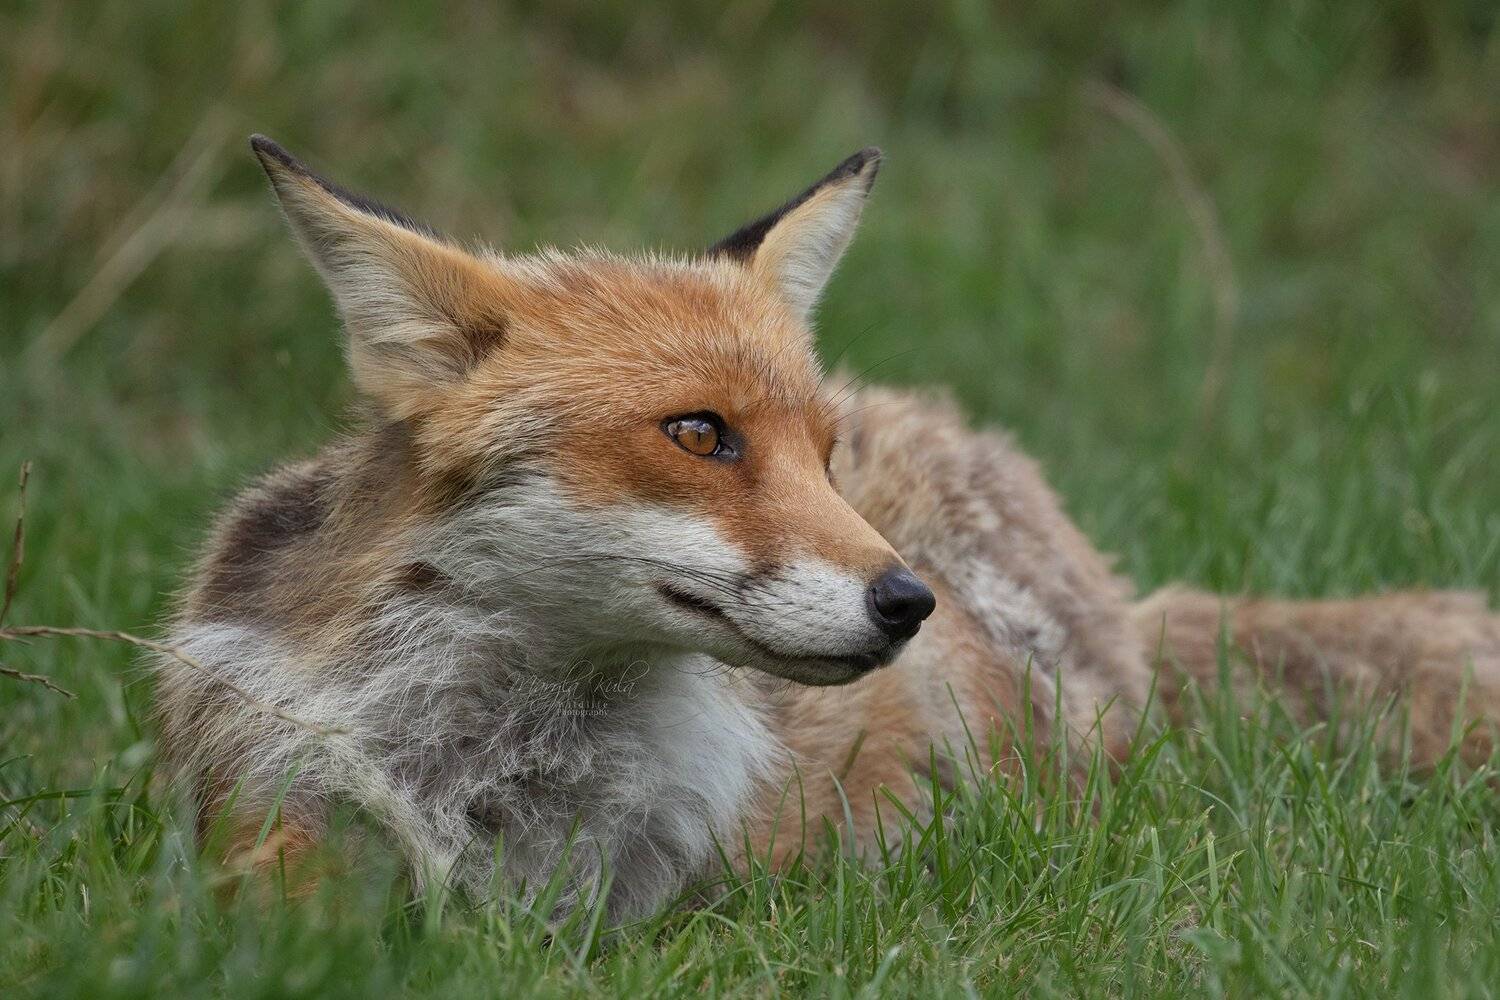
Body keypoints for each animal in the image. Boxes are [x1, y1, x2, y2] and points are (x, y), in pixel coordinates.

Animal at [154, 135, 1500, 920]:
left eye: (825, 451)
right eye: (700, 433)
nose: (909, 602)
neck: (503, 767)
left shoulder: (685, 891)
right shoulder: (264, 804)